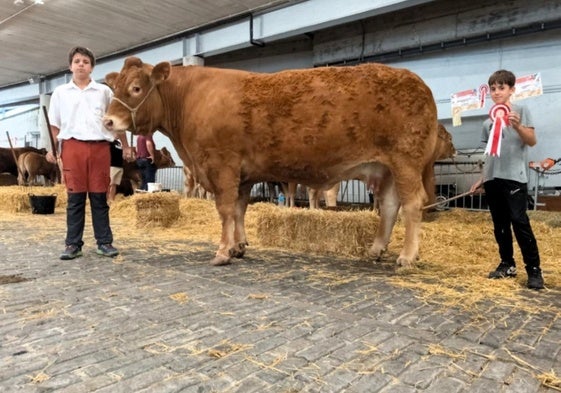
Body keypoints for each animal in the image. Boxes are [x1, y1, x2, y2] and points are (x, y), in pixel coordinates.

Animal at [103, 57, 440, 266]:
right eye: (115, 88)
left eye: (135, 88)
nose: (108, 121)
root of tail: (418, 82)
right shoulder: (242, 172)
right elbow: (239, 209)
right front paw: (238, 247)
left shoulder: (221, 165)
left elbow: (225, 209)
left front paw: (222, 252)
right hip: (386, 169)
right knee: (390, 206)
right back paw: (376, 249)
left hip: (405, 161)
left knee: (412, 204)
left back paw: (407, 256)